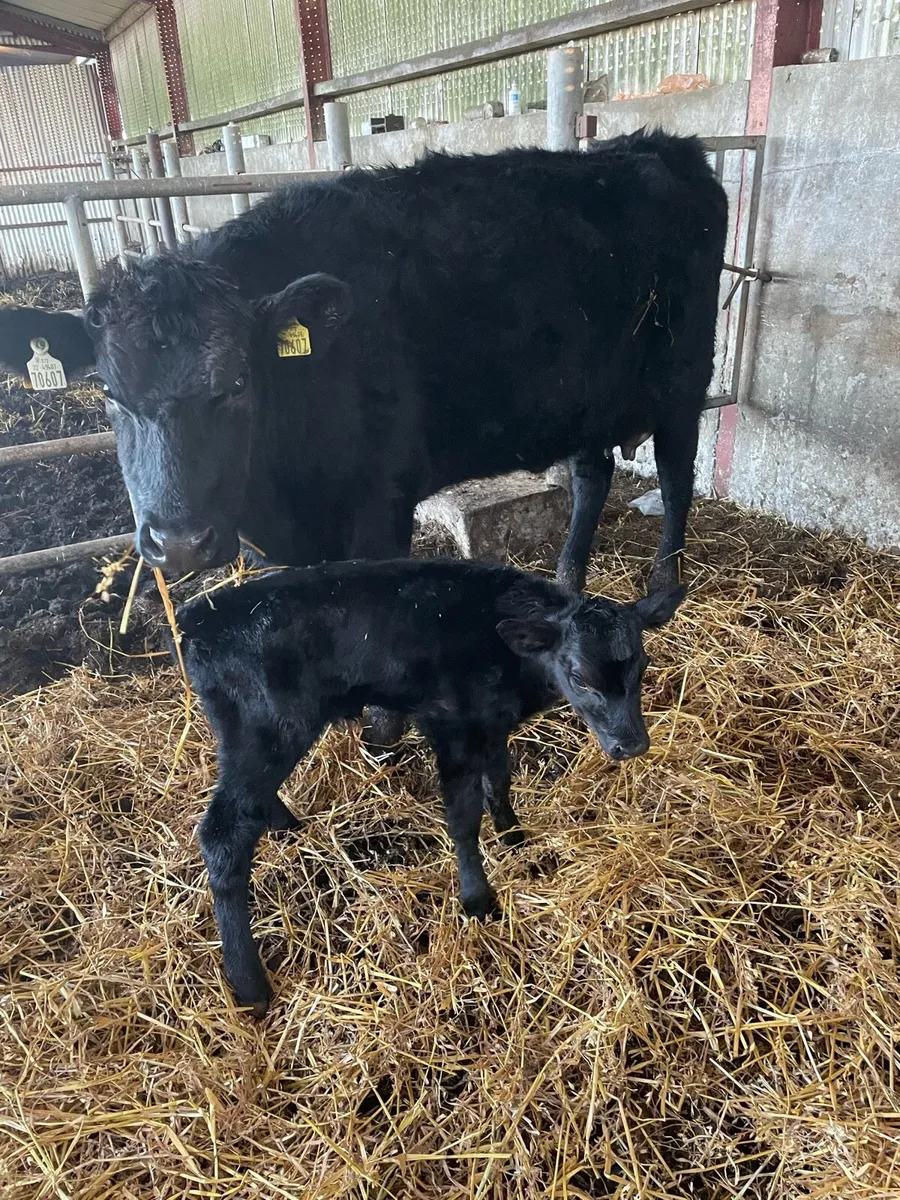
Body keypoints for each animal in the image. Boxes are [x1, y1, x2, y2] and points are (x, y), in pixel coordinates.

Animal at [0, 131, 727, 597]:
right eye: (109, 394)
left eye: (238, 383)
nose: (178, 544)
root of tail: (658, 145)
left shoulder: (382, 502)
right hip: (585, 394)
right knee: (592, 474)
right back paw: (568, 579)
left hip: (684, 380)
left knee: (675, 474)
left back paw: (664, 589)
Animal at [176, 557, 685, 1014]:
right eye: (579, 676)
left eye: (641, 666)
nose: (632, 744)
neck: (508, 656)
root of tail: (197, 617)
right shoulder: (451, 726)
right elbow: (462, 816)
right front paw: (477, 899)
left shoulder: (490, 723)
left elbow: (499, 779)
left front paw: (513, 836)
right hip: (267, 729)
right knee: (223, 833)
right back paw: (250, 985)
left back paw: (287, 826)